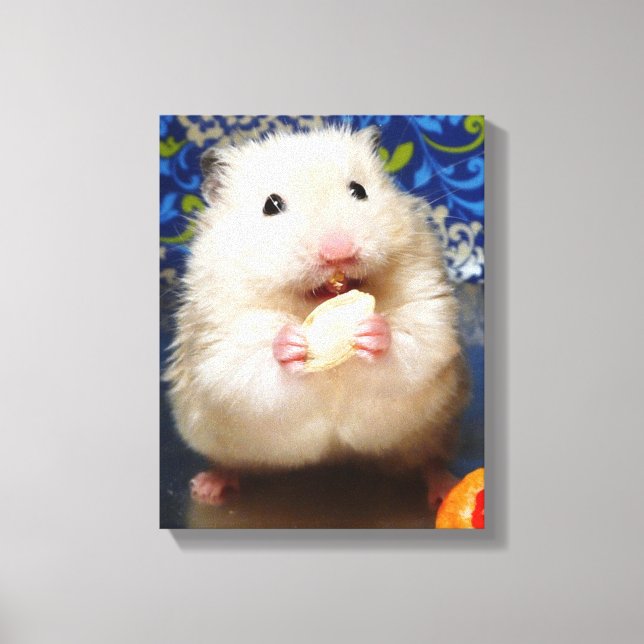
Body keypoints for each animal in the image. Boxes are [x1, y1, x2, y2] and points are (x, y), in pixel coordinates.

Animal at [165, 125, 469, 508]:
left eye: (359, 190)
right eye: (271, 205)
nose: (339, 251)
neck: (310, 305)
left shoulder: (428, 307)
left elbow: (415, 341)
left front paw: (372, 331)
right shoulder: (218, 340)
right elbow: (248, 364)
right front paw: (290, 344)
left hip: (433, 431)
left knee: (428, 461)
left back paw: (444, 487)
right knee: (230, 463)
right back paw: (207, 488)